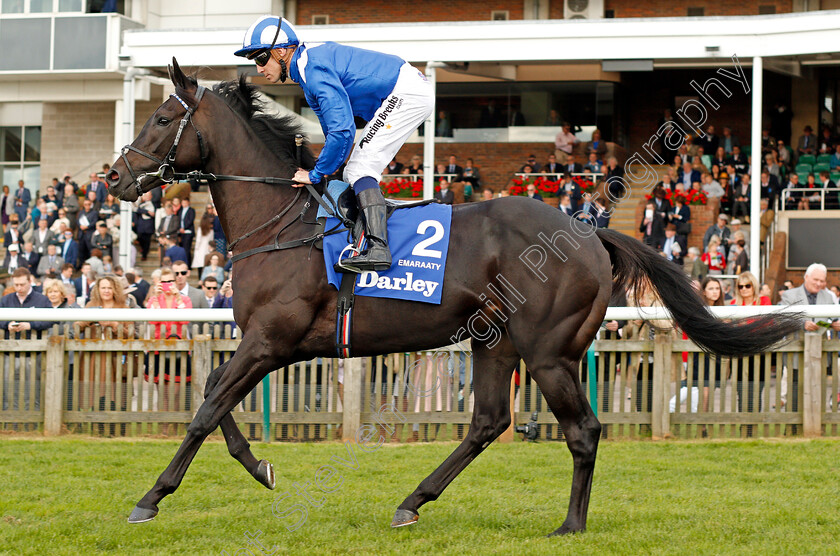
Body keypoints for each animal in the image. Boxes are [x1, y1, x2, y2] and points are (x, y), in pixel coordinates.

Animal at [105, 59, 800, 536]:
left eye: (162, 118)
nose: (112, 178)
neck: (281, 224)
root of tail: (588, 231)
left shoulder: (272, 339)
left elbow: (206, 407)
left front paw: (149, 499)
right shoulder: (267, 344)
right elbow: (213, 398)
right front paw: (260, 468)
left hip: (548, 351)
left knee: (582, 430)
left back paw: (569, 525)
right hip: (497, 341)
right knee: (488, 422)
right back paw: (413, 501)